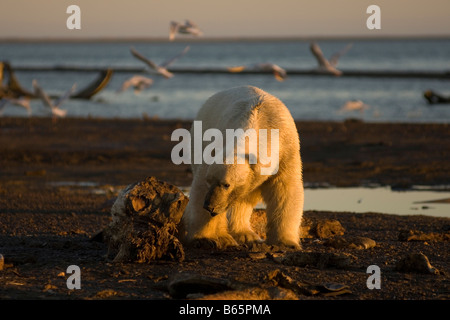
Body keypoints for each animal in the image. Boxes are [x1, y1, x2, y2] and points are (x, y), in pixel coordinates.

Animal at [181, 86, 304, 249]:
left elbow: (285, 189)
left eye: (226, 184)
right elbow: (200, 187)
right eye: (209, 181)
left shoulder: (286, 150)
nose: (209, 206)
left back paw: (246, 235)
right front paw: (209, 238)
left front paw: (286, 242)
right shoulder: (216, 146)